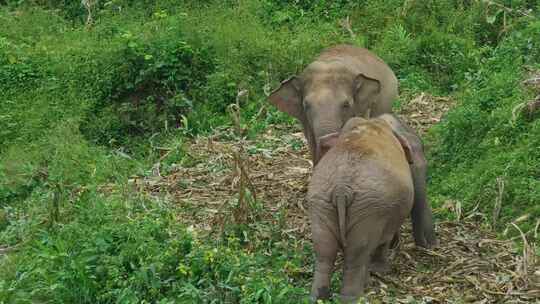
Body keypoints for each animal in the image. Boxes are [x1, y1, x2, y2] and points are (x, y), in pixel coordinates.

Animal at [306, 116, 416, 302]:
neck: (369, 125)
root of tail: (341, 188)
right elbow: (382, 241)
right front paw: (380, 271)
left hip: (321, 203)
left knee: (324, 250)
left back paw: (318, 298)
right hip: (369, 210)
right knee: (357, 253)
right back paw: (352, 299)